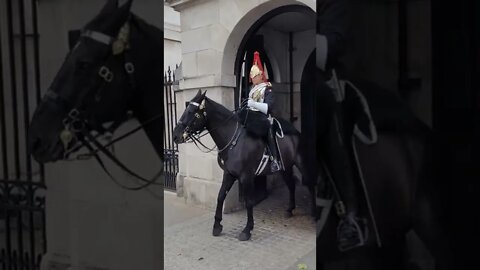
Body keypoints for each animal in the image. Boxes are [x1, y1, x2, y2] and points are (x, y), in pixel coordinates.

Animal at [172, 90, 316, 240]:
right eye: (186, 109)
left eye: (192, 112)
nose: (175, 135)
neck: (234, 140)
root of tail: (296, 132)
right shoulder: (229, 174)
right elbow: (220, 196)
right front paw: (217, 226)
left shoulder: (246, 177)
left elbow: (249, 201)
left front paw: (247, 230)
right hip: (285, 167)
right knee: (291, 185)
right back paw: (289, 210)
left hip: (301, 163)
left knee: (309, 183)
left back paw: (313, 212)